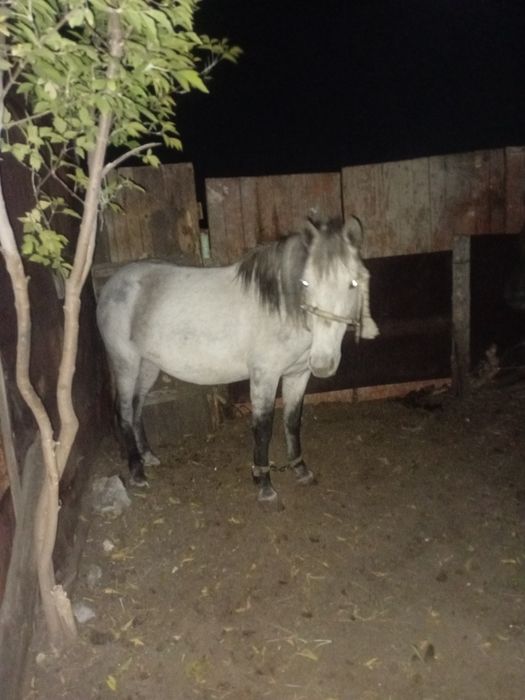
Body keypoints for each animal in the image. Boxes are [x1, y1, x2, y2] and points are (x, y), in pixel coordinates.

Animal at [96, 214, 379, 505]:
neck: (281, 309)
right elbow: (263, 428)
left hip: (149, 365)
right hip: (126, 363)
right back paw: (136, 472)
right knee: (124, 410)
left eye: (353, 283)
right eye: (305, 283)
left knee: (138, 406)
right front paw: (264, 485)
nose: (323, 362)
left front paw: (300, 470)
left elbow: (292, 421)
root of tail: (113, 284)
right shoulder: (265, 376)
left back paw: (148, 457)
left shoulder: (298, 374)